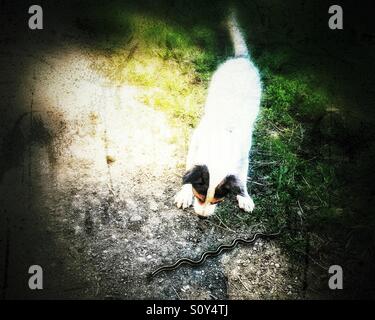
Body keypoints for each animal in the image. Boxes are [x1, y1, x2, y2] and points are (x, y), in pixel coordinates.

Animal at [176, 12, 262, 218]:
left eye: (218, 200)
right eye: (198, 195)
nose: (202, 217)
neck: (222, 141)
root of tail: (241, 58)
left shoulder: (243, 157)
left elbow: (242, 178)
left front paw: (245, 197)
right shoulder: (195, 145)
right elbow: (189, 169)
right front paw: (184, 193)